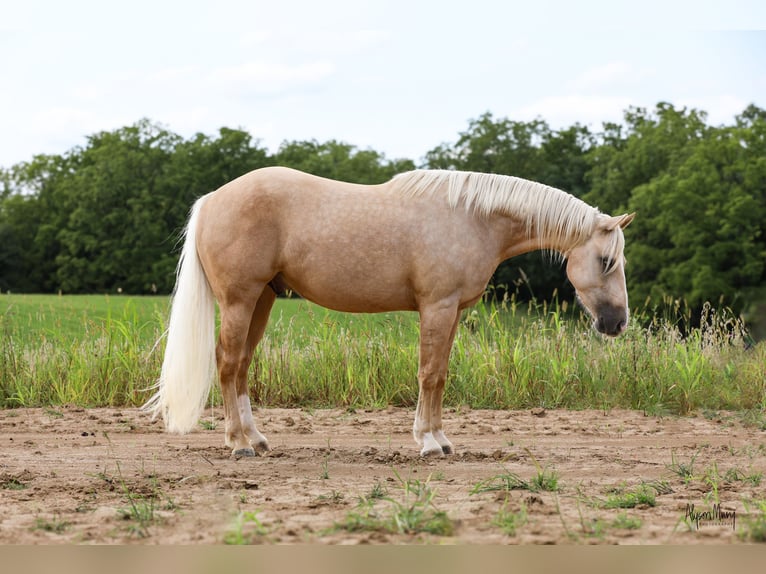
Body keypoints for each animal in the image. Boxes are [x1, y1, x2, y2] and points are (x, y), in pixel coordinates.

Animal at [144, 166, 636, 460]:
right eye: (606, 261)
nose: (616, 323)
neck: (473, 218)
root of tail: (213, 199)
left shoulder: (452, 311)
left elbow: (440, 374)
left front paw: (438, 438)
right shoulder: (437, 307)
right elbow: (429, 374)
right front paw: (429, 444)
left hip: (262, 299)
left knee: (243, 365)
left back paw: (257, 440)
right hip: (240, 299)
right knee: (228, 364)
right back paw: (237, 445)